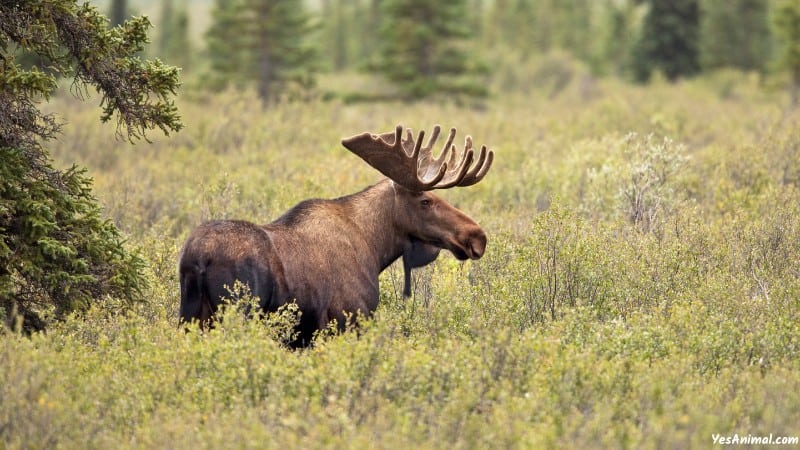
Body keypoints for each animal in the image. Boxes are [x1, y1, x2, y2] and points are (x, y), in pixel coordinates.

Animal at [180, 125, 494, 346]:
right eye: (426, 201)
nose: (476, 236)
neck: (375, 247)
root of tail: (198, 259)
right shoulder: (348, 319)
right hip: (237, 313)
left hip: (190, 316)